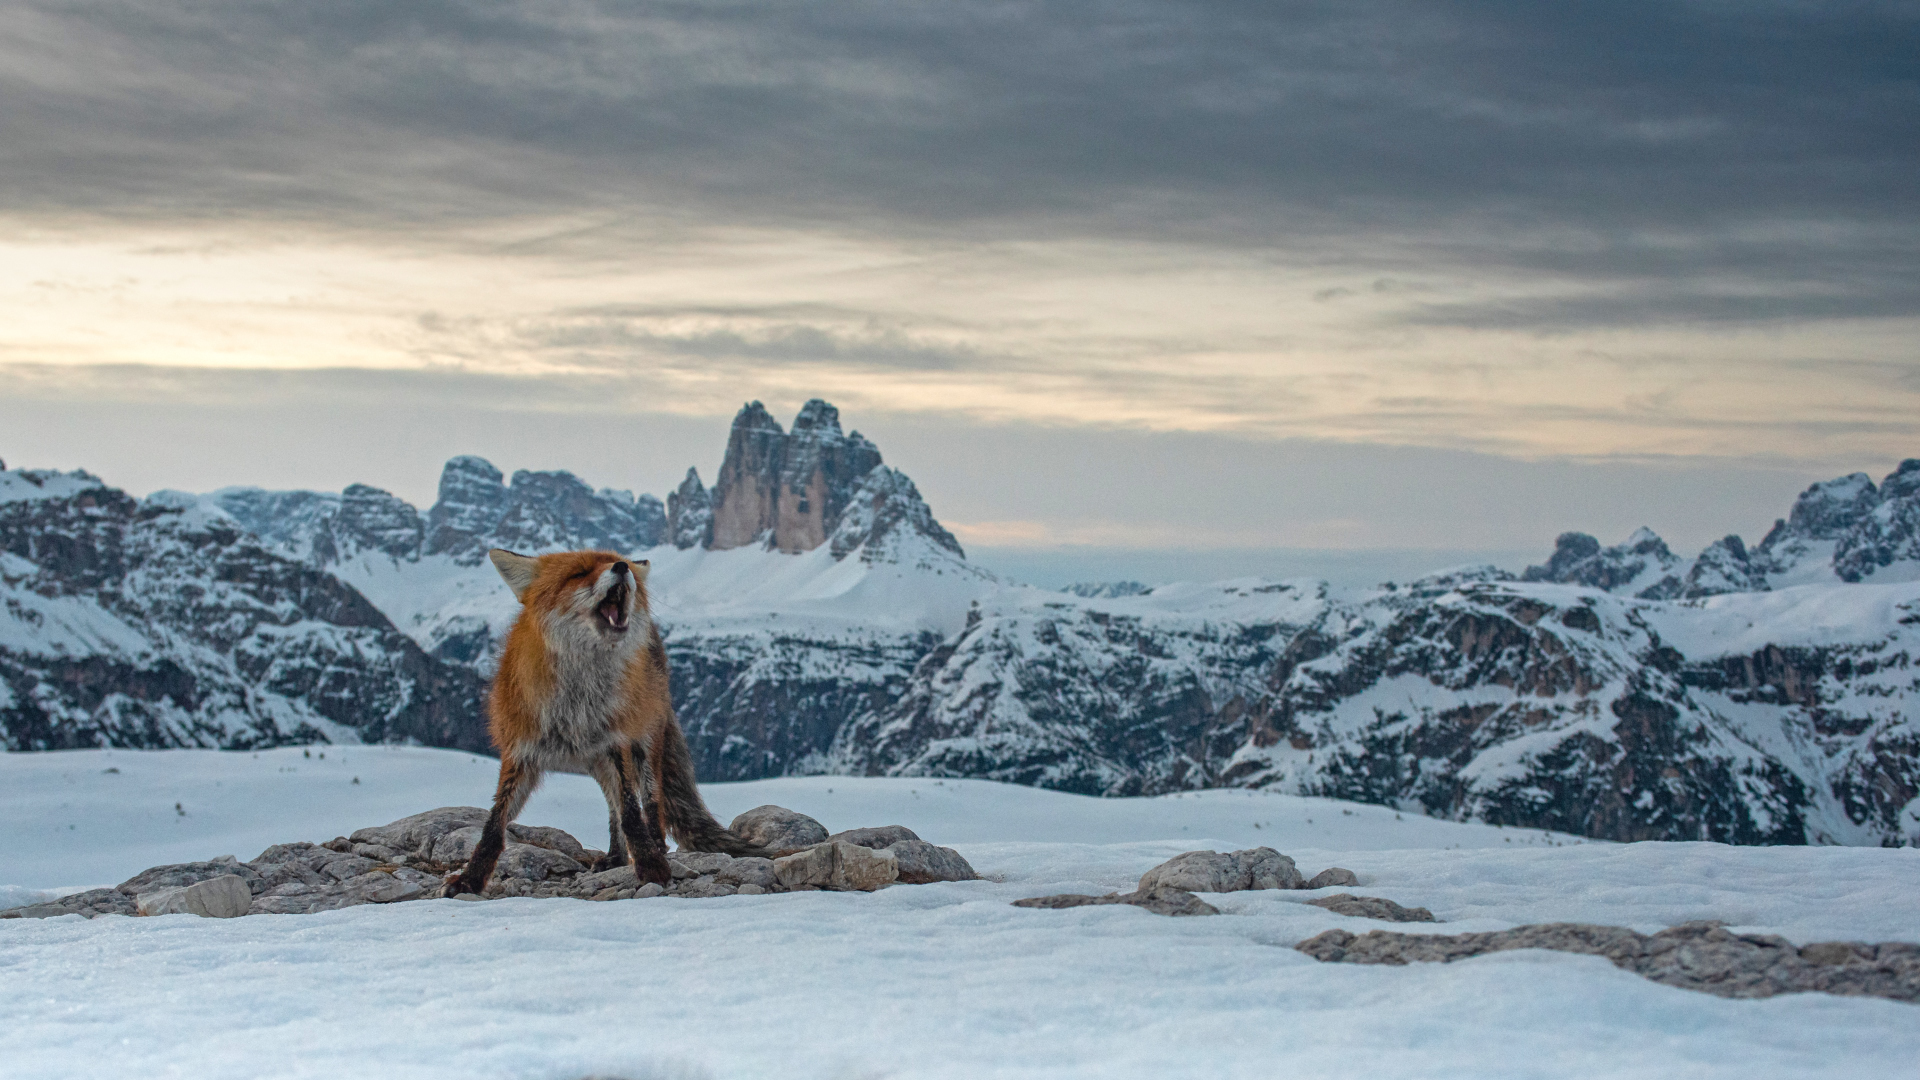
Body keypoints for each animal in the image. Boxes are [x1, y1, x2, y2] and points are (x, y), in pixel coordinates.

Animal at [442, 547, 768, 898]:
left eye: (617, 562)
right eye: (579, 573)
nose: (623, 567)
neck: (577, 706)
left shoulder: (617, 741)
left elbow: (632, 814)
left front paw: (651, 865)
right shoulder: (520, 751)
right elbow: (494, 824)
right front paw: (470, 879)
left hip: (643, 745)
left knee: (649, 803)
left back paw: (653, 846)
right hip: (596, 763)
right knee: (612, 806)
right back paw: (615, 857)